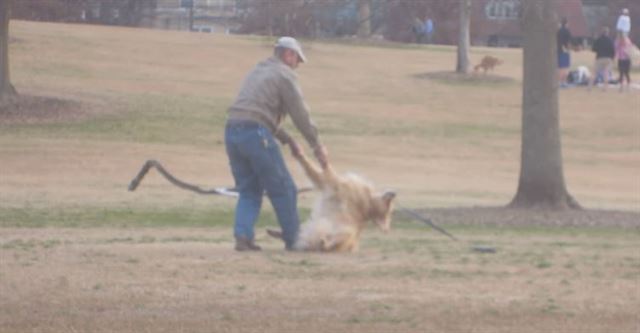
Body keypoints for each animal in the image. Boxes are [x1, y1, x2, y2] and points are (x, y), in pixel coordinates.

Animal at [264, 144, 396, 250]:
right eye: (389, 206)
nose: (394, 194)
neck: (368, 203)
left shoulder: (330, 182)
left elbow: (317, 168)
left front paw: (302, 154)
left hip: (345, 232)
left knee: (326, 243)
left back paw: (323, 242)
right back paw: (275, 232)